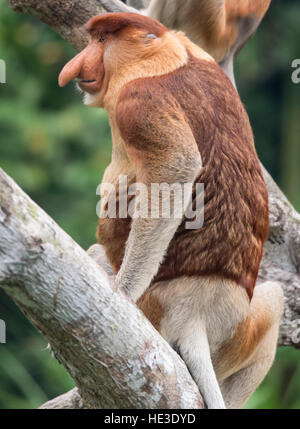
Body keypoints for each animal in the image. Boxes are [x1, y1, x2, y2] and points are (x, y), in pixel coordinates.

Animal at [59, 12, 284, 408]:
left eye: (102, 40)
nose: (75, 67)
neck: (165, 56)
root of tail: (196, 309)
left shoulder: (138, 103)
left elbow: (176, 168)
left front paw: (122, 293)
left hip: (158, 306)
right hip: (240, 326)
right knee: (274, 301)